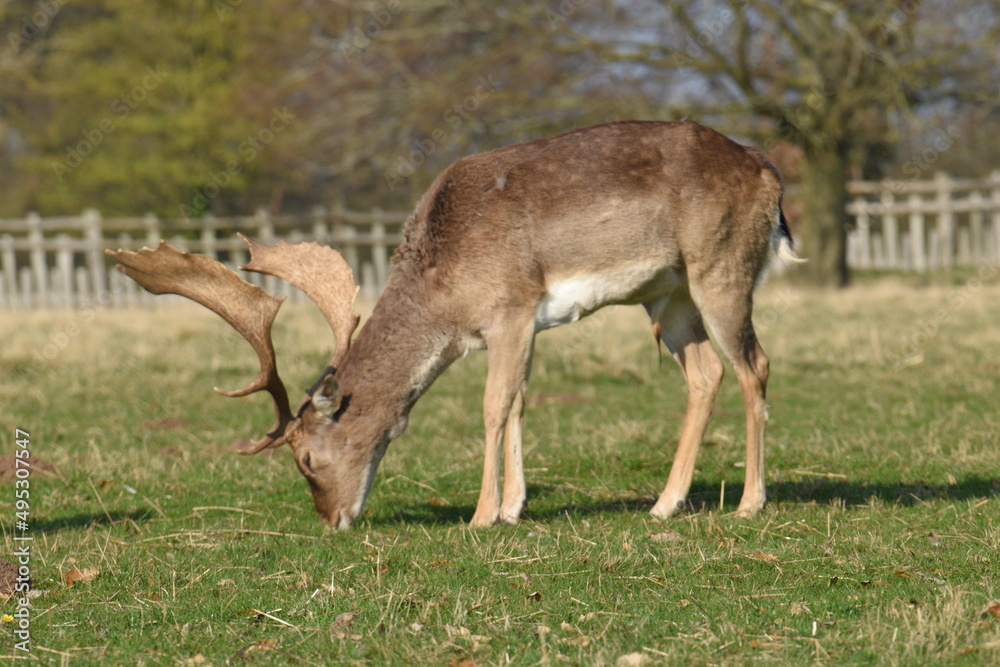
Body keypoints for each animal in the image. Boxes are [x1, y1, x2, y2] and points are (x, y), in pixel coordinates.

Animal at [107, 120, 803, 530]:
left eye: (305, 458)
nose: (331, 519)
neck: (444, 289)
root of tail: (769, 175)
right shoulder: (521, 327)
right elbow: (519, 400)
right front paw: (515, 507)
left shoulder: (512, 306)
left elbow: (495, 405)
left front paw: (482, 515)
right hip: (668, 295)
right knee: (707, 373)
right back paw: (663, 505)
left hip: (721, 267)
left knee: (756, 364)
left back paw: (749, 502)